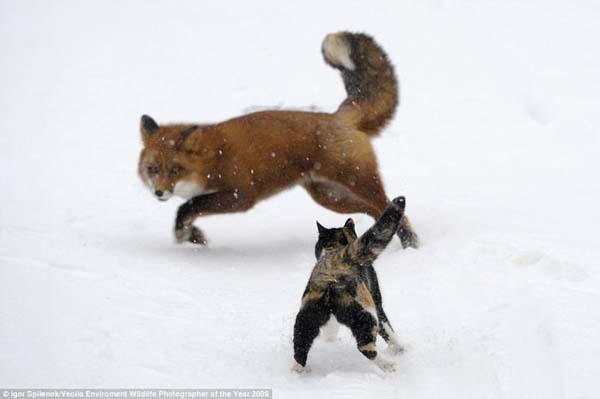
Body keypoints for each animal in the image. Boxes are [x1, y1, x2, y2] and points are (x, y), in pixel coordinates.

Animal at [138, 32, 420, 248]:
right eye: (153, 169)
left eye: (175, 170)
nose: (159, 192)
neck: (211, 159)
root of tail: (338, 117)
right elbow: (188, 212)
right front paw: (191, 235)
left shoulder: (241, 195)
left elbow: (189, 206)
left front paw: (185, 232)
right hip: (331, 198)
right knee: (375, 212)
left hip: (358, 183)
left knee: (392, 209)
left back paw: (410, 244)